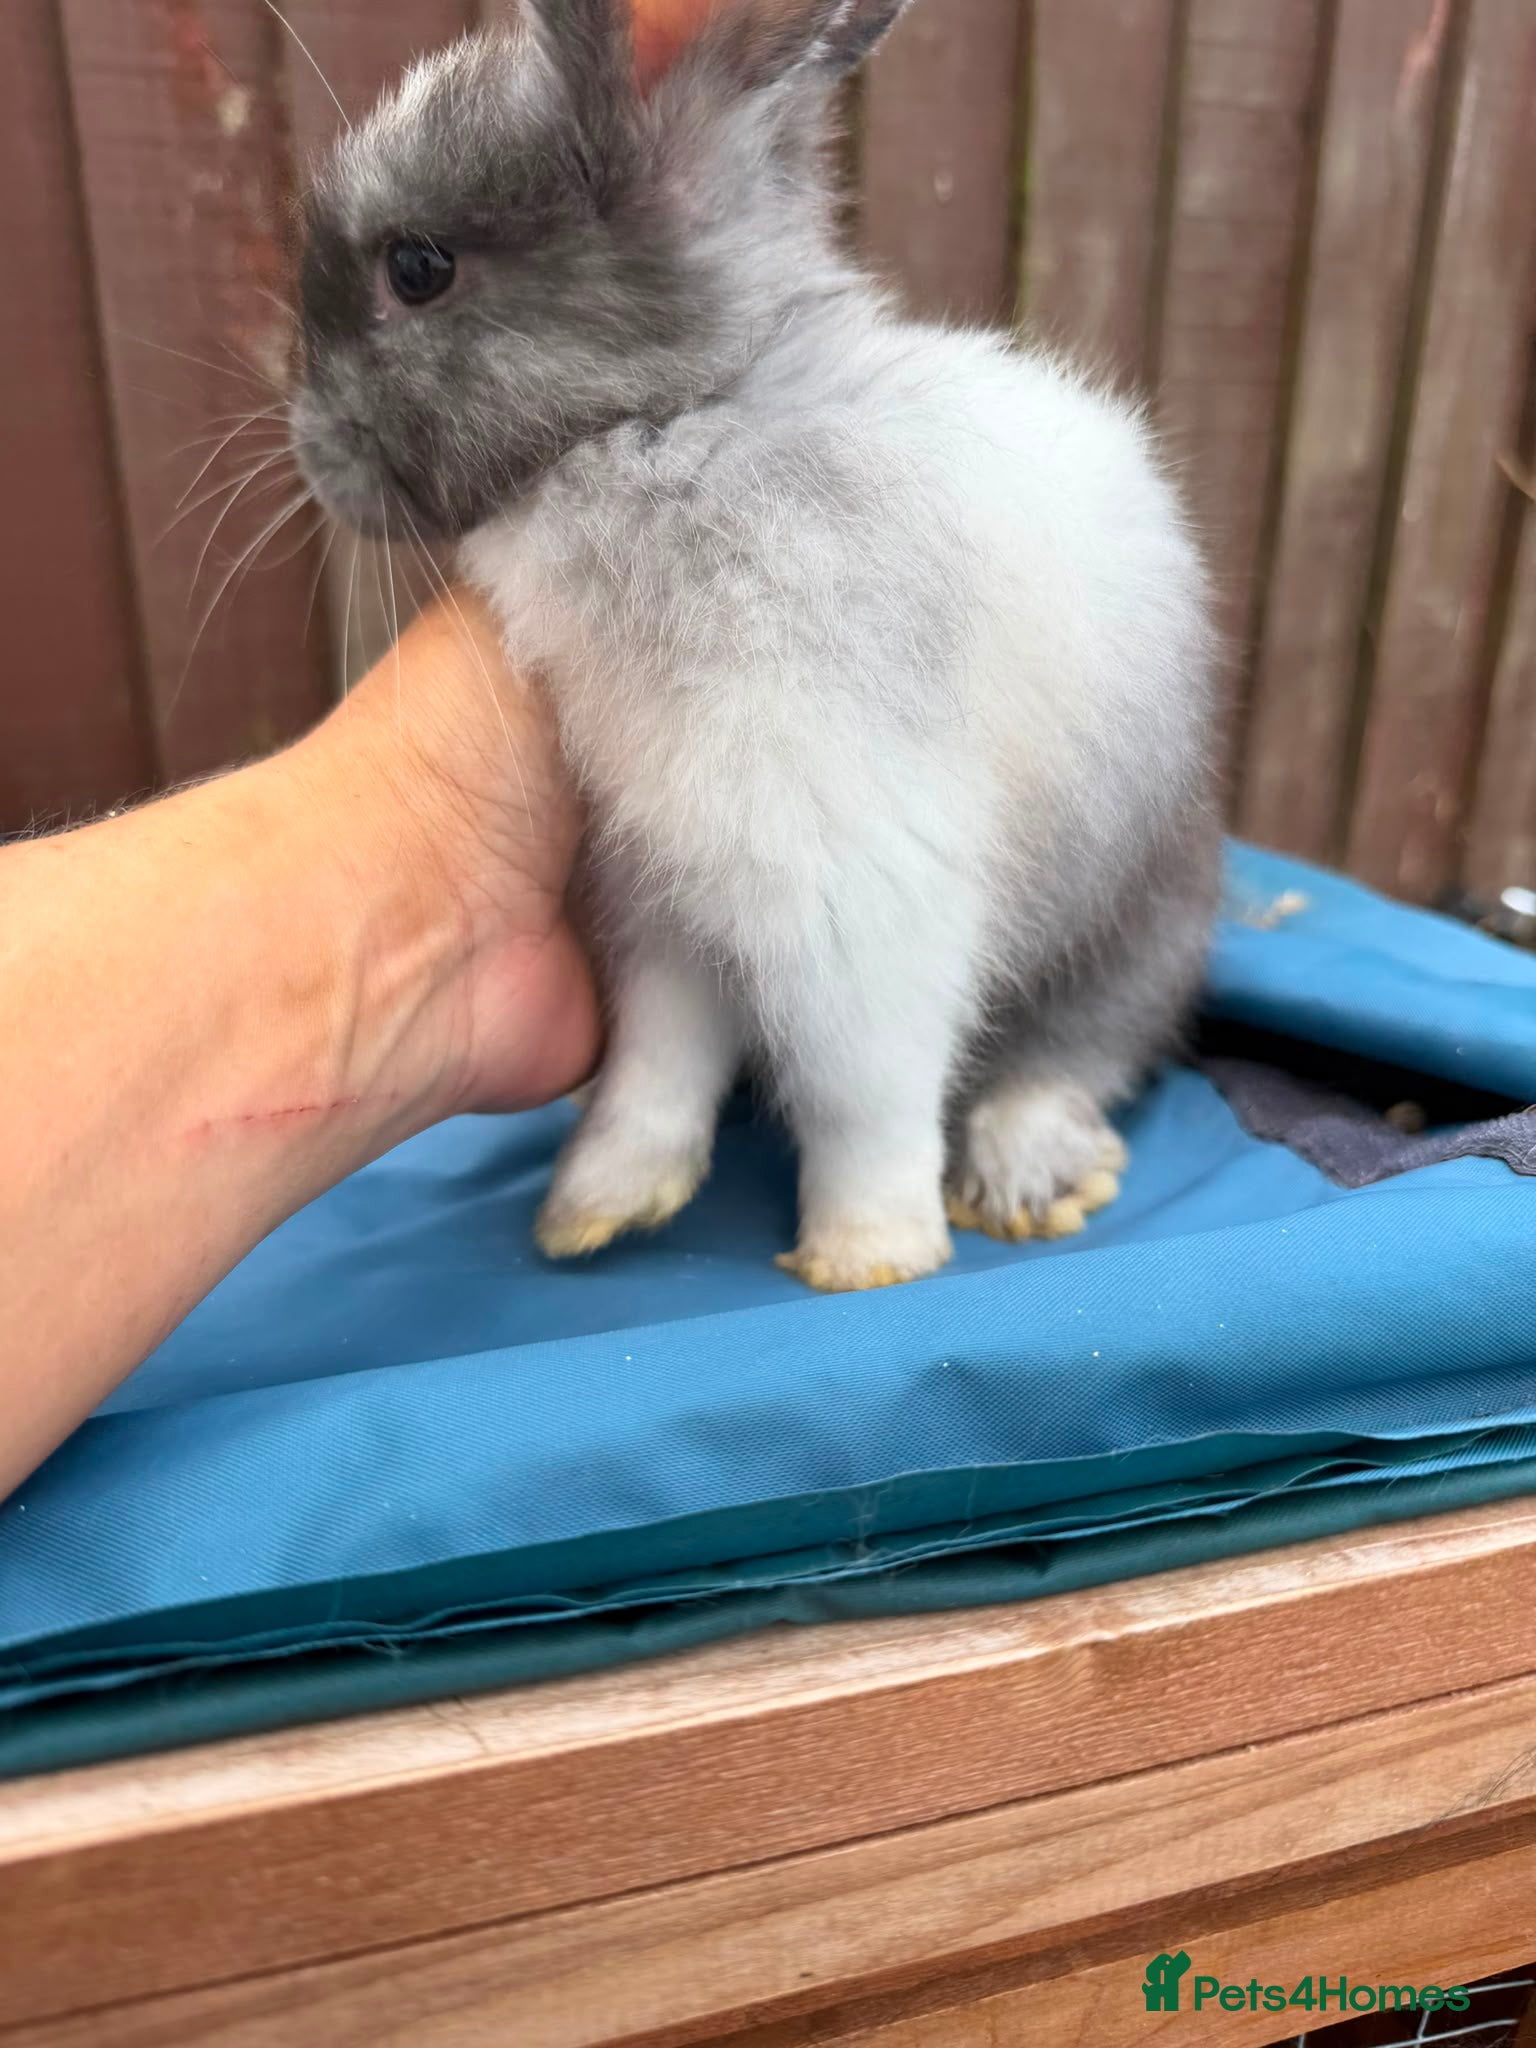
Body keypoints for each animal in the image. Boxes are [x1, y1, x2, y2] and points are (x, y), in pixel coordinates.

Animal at [289, 0, 1220, 1294]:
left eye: (418, 267)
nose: (304, 445)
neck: (670, 422)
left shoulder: (849, 879)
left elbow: (863, 1088)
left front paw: (867, 1252)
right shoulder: (669, 897)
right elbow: (661, 1055)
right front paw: (599, 1204)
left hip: (1133, 916)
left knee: (1079, 1051)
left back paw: (1028, 1175)